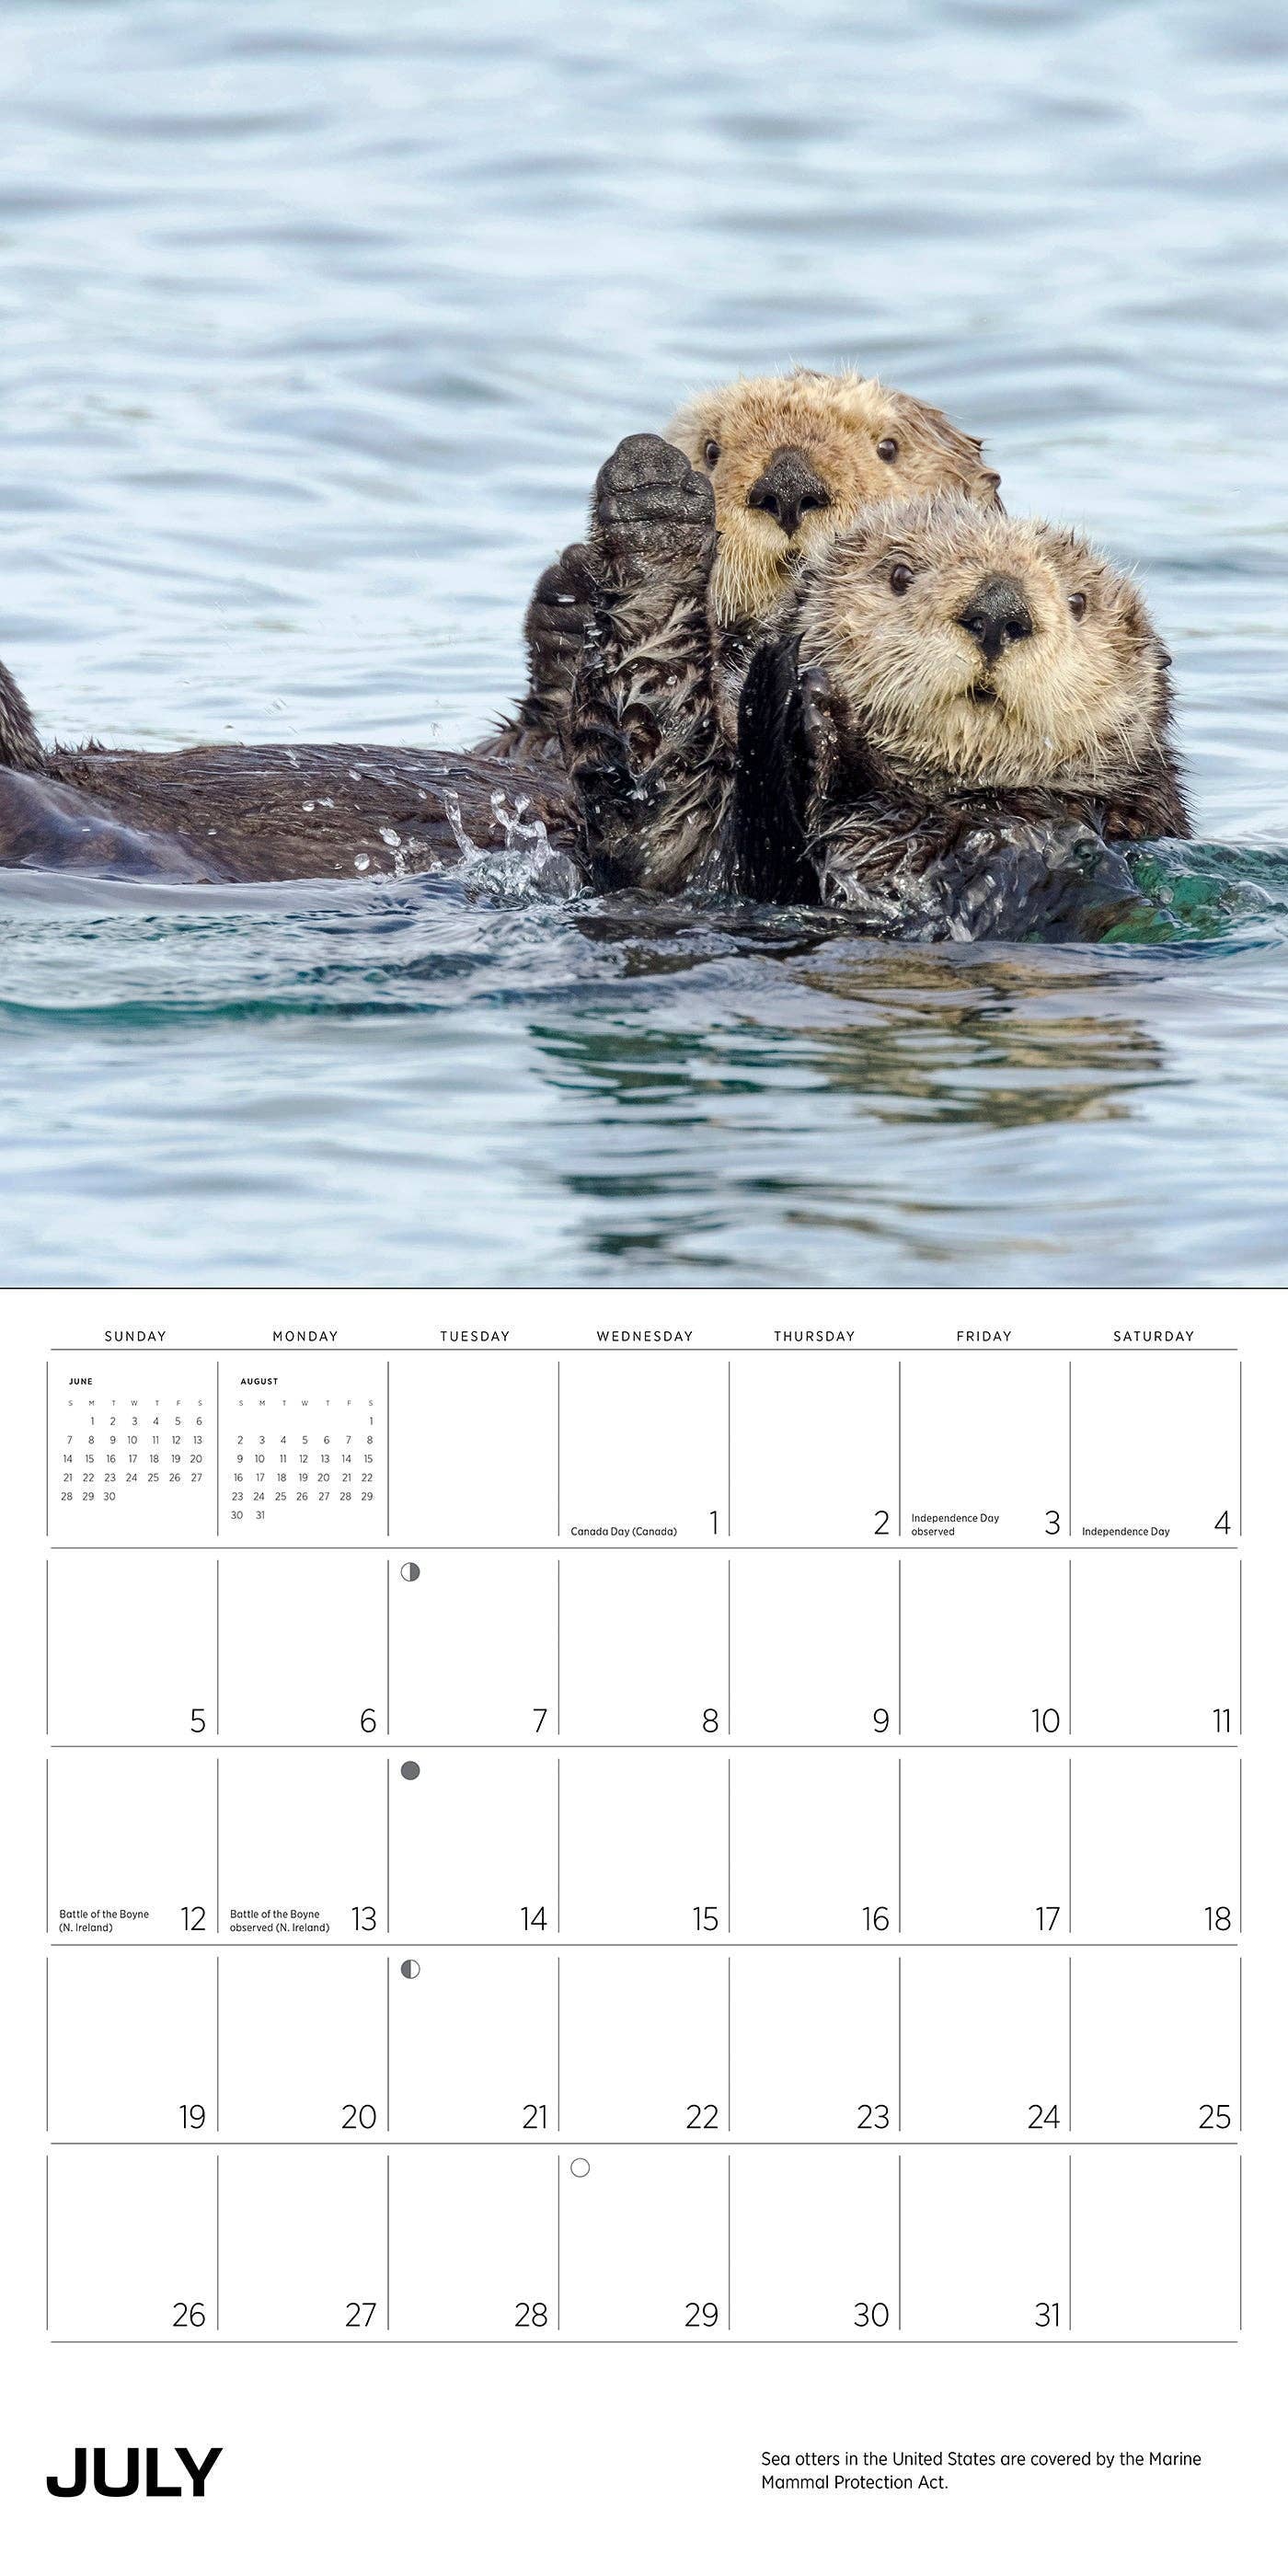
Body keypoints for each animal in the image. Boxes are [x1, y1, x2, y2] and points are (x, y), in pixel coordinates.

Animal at [566, 434, 1188, 939]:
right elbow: (659, 812)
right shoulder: (689, 853)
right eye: (900, 575)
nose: (997, 609)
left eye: (1078, 602)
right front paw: (652, 498)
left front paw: (821, 721)